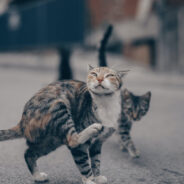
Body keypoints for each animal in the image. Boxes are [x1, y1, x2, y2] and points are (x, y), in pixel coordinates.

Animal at [98, 24, 152, 158]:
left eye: (141, 111)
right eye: (129, 109)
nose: (135, 117)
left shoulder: (126, 124)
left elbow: (122, 136)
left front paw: (123, 145)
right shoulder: (122, 124)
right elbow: (127, 138)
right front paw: (133, 150)